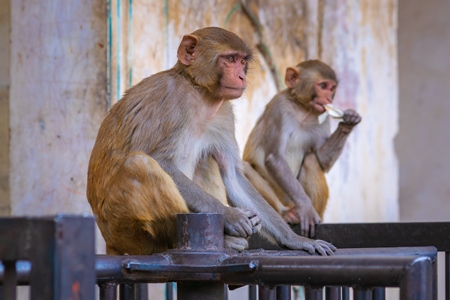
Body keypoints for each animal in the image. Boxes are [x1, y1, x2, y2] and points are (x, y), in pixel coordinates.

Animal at [86, 27, 336, 255]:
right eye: (230, 59)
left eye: (242, 61)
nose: (242, 76)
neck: (201, 94)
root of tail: (108, 240)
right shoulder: (173, 100)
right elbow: (161, 161)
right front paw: (231, 215)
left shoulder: (224, 114)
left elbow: (232, 175)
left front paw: (295, 240)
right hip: (122, 229)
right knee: (140, 164)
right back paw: (212, 241)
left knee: (207, 159)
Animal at [243, 59, 362, 238]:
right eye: (323, 85)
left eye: (332, 87)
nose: (328, 97)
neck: (303, 109)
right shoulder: (280, 106)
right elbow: (275, 158)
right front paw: (306, 208)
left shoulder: (322, 117)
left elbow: (321, 160)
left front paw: (348, 122)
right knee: (243, 167)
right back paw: (286, 214)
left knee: (311, 160)